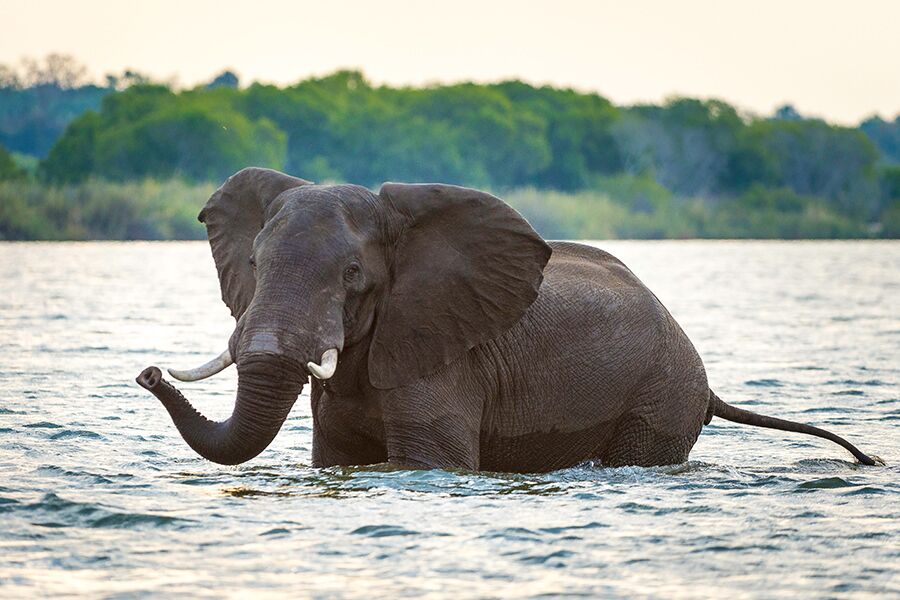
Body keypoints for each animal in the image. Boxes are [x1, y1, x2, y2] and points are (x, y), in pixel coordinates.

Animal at [136, 167, 879, 471]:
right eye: (252, 263)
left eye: (352, 277)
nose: (147, 372)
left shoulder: (443, 357)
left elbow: (431, 461)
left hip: (661, 396)